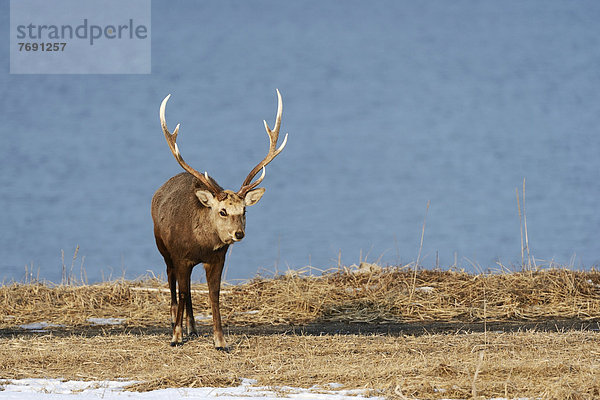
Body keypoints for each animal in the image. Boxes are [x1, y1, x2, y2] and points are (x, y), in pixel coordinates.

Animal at [152, 89, 288, 348]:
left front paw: (220, 341)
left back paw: (192, 328)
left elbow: (213, 295)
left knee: (188, 290)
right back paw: (176, 325)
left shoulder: (217, 258)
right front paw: (176, 337)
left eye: (244, 211)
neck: (201, 244)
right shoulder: (180, 255)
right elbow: (182, 292)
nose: (238, 234)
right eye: (222, 211)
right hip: (163, 249)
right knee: (174, 284)